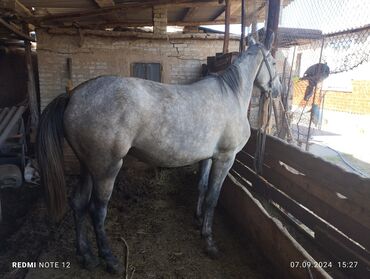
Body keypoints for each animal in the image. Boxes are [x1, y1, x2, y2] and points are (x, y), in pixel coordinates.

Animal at [36, 38, 280, 274]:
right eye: (275, 62)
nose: (277, 89)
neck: (232, 95)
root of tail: (72, 95)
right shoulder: (225, 158)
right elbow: (213, 198)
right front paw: (209, 242)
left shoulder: (208, 158)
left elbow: (201, 187)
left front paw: (198, 220)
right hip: (106, 169)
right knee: (97, 211)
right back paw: (110, 260)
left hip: (88, 167)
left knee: (78, 204)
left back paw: (86, 256)